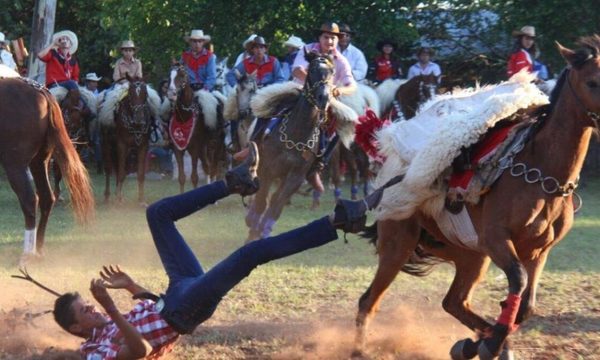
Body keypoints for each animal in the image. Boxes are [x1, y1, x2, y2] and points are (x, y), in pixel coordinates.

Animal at [0, 76, 94, 262]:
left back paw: (28, 252)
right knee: (46, 198)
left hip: (15, 165)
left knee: (30, 199)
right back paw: (39, 249)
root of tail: (41, 91)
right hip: (39, 163)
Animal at [352, 37, 600, 360]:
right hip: (398, 244)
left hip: (470, 254)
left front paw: (483, 342)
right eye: (593, 81)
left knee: (453, 302)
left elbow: (526, 307)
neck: (543, 175)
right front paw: (488, 343)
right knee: (369, 301)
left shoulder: (538, 251)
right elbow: (518, 281)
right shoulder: (497, 240)